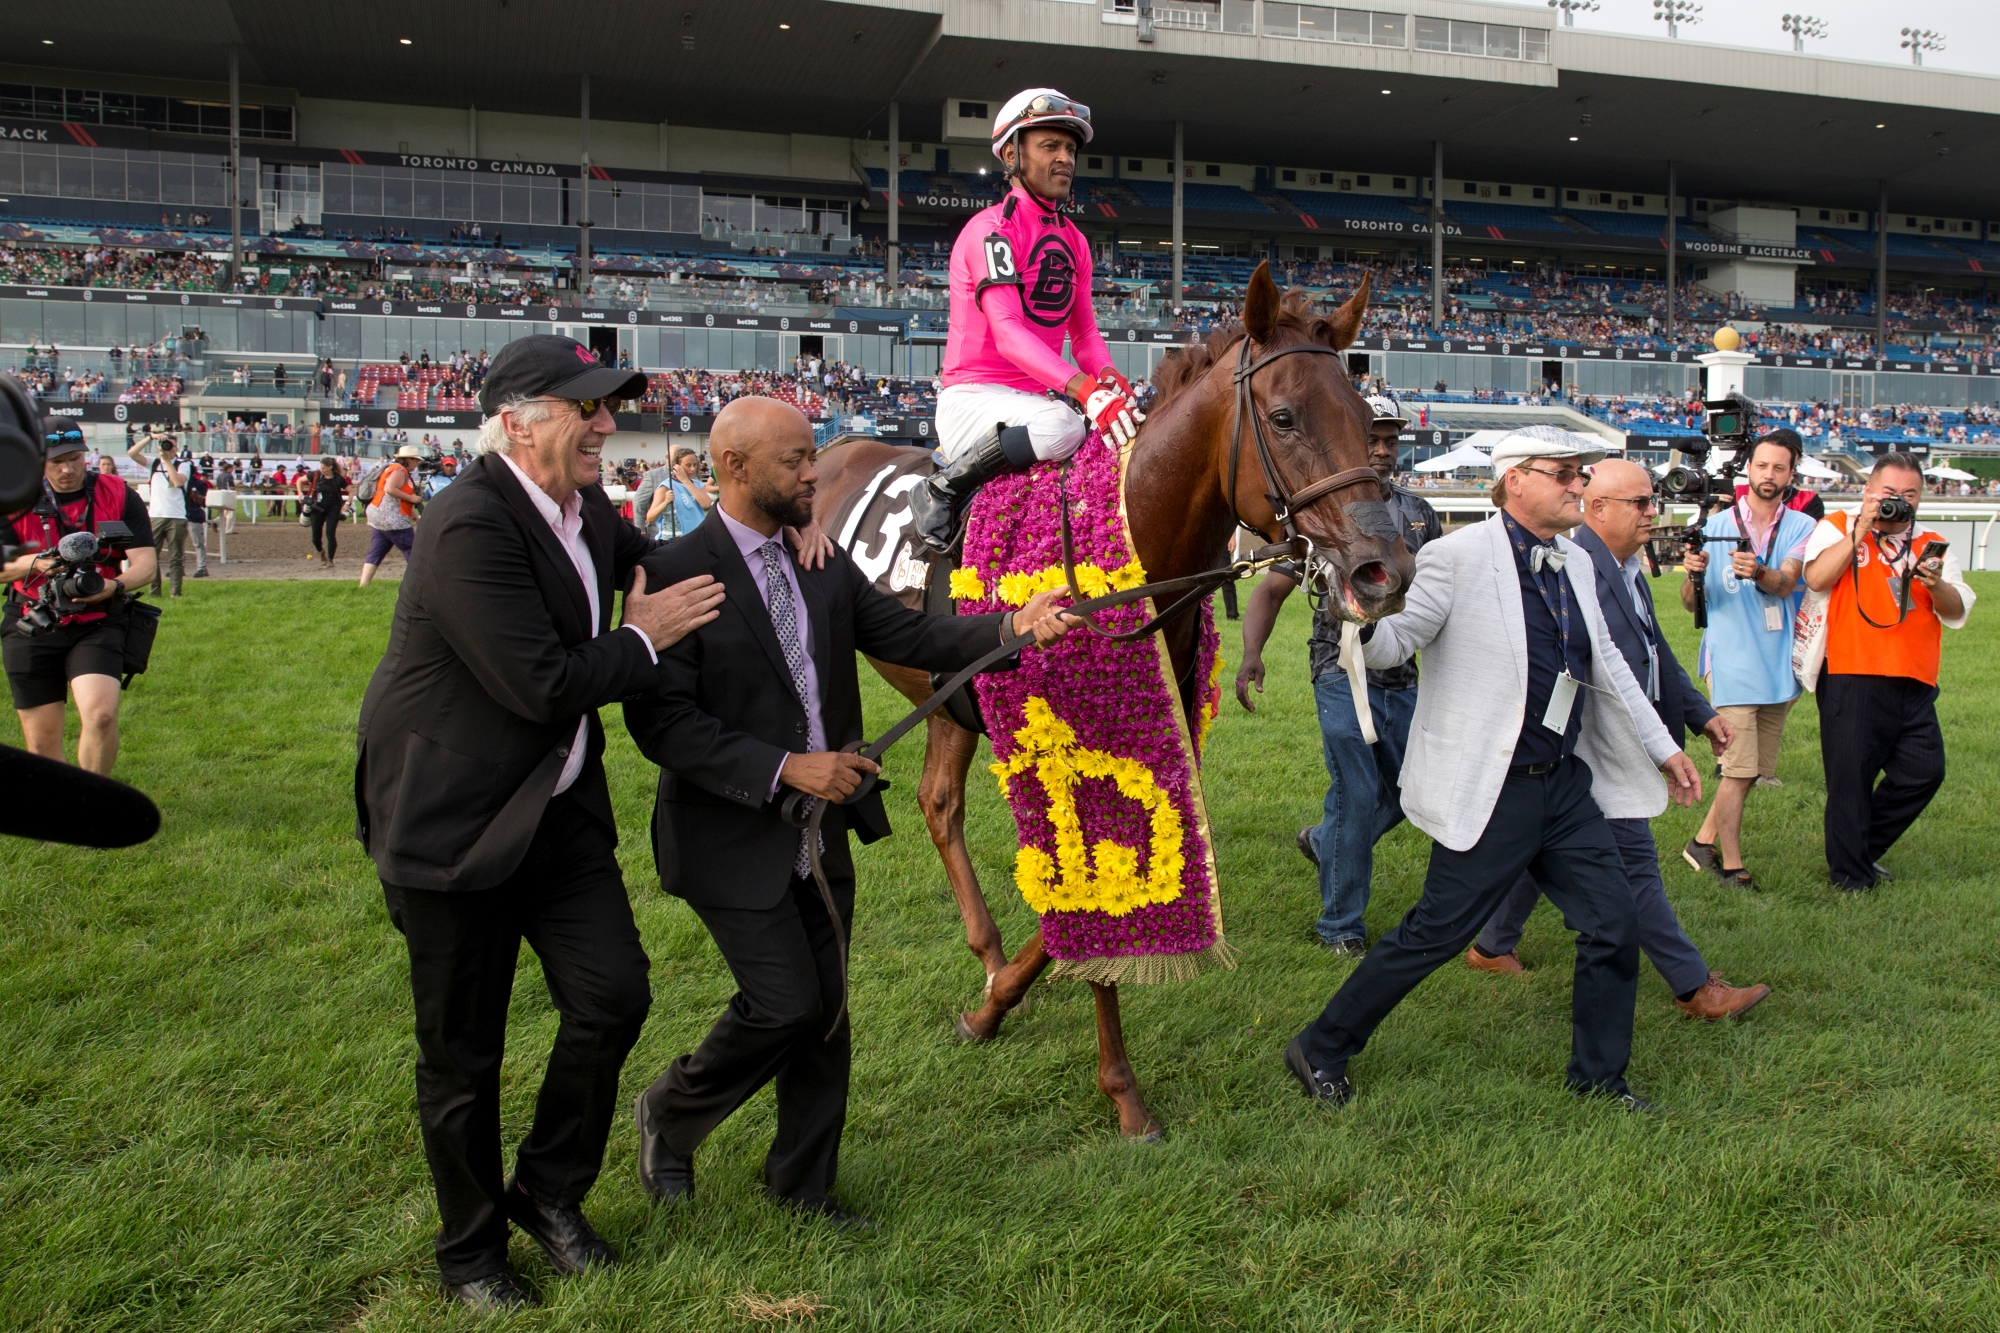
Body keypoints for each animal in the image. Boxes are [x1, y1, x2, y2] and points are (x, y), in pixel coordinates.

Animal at [808, 264, 1408, 1136]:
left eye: (1366, 421)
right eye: (1286, 416)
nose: (1381, 568)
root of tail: (834, 447)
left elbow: (1084, 908)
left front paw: (996, 1002)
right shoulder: (1073, 743)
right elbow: (1094, 891)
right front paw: (1123, 1091)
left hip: (948, 697)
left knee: (939, 802)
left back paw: (986, 953)